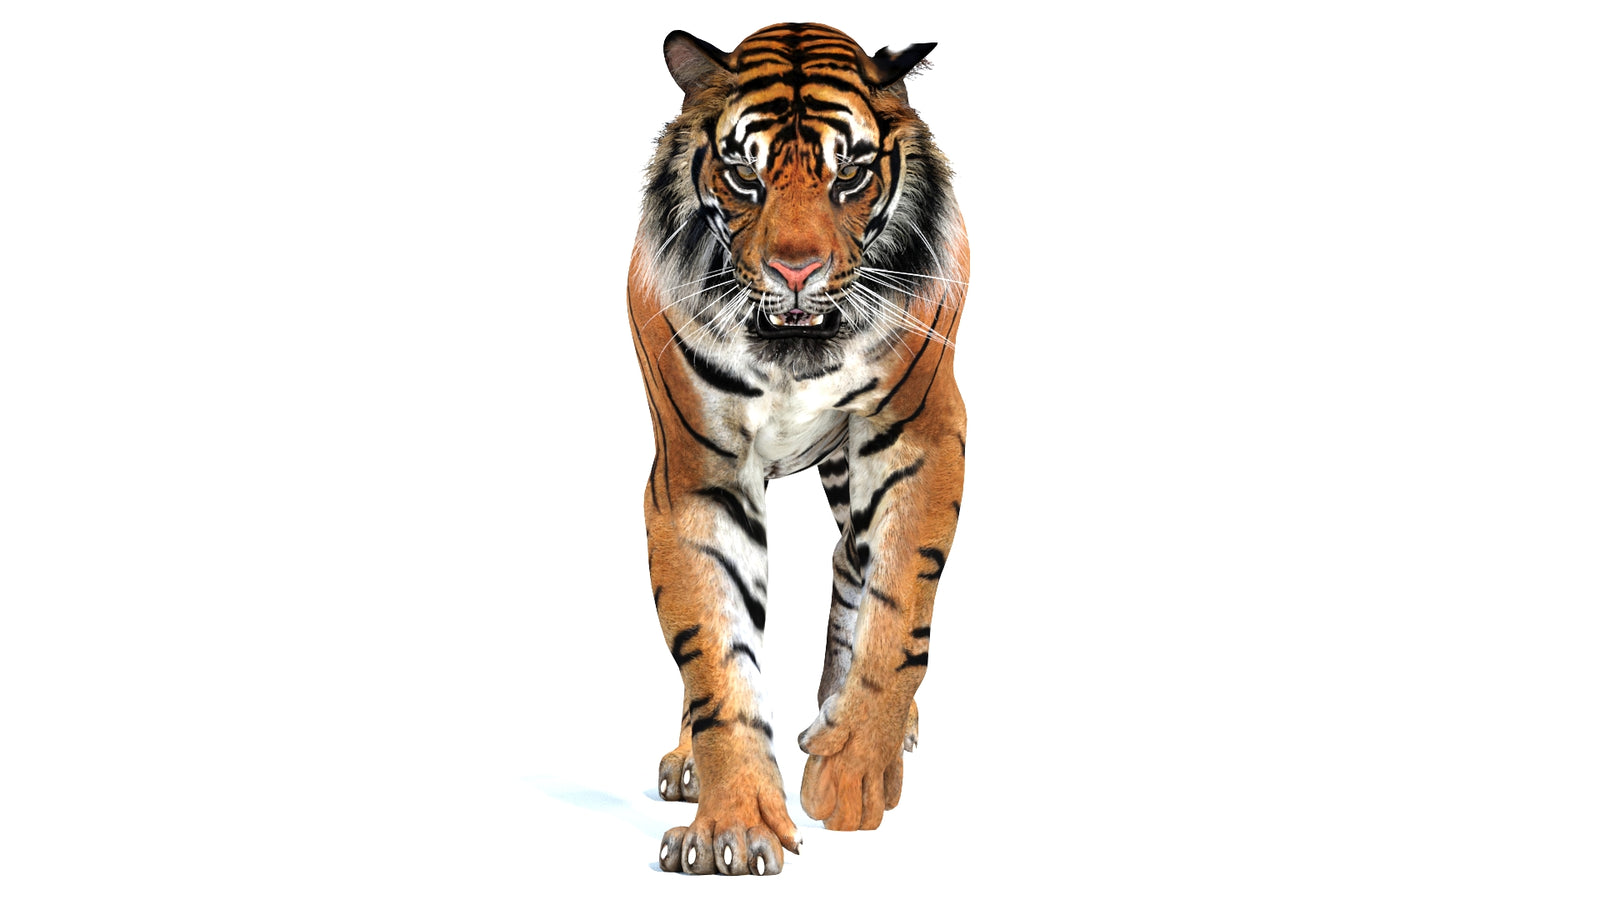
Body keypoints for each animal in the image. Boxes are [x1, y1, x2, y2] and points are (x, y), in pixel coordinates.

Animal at [628, 23, 968, 876]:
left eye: (848, 174)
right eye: (744, 175)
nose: (794, 269)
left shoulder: (922, 432)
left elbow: (897, 614)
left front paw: (851, 772)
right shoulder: (697, 473)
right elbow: (713, 654)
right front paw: (733, 827)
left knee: (854, 563)